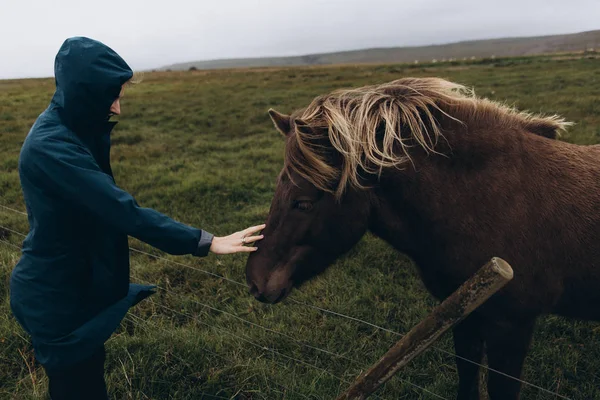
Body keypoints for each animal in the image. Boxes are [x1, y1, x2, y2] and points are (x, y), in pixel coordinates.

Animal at [244, 76, 600, 398]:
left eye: (303, 202)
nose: (255, 280)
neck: (490, 201)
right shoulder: (463, 314)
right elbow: (467, 378)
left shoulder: (512, 327)